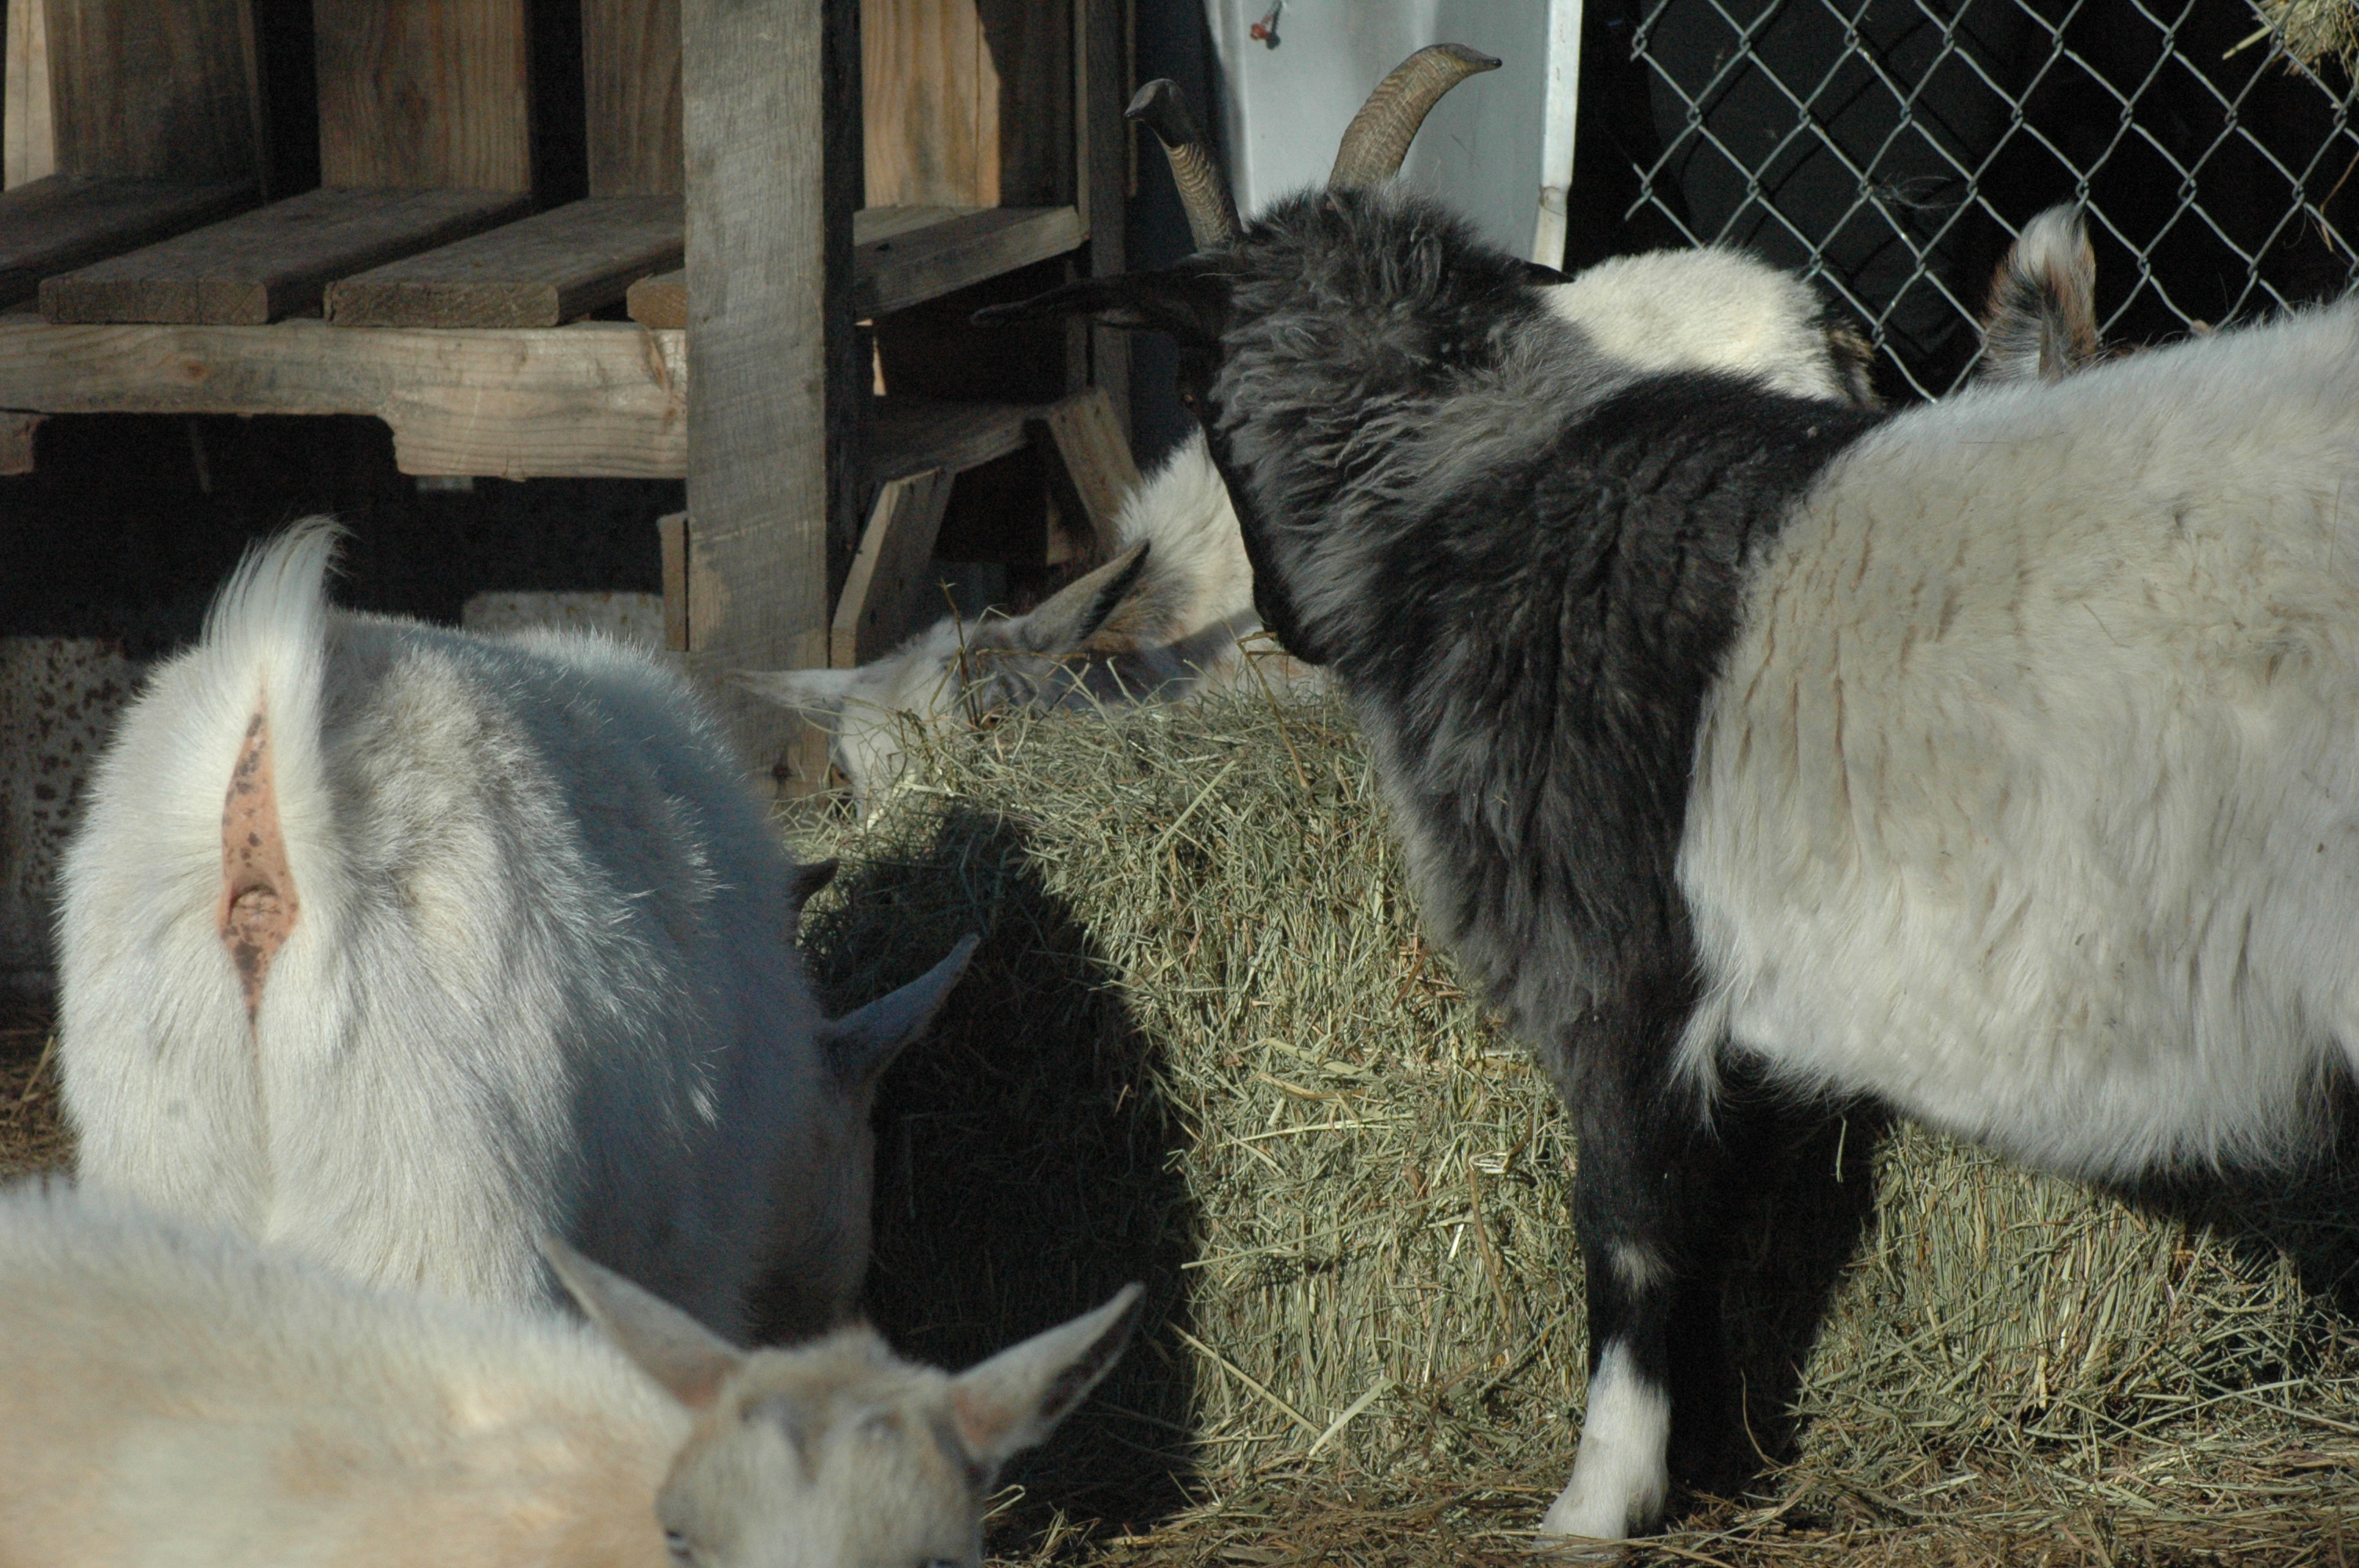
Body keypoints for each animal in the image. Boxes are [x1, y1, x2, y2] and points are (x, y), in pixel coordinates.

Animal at [988, 47, 2359, 1541]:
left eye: (1191, 378)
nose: (1284, 626)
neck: (1479, 483)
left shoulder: (1614, 972)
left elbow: (1632, 1235)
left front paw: (1594, 1505)